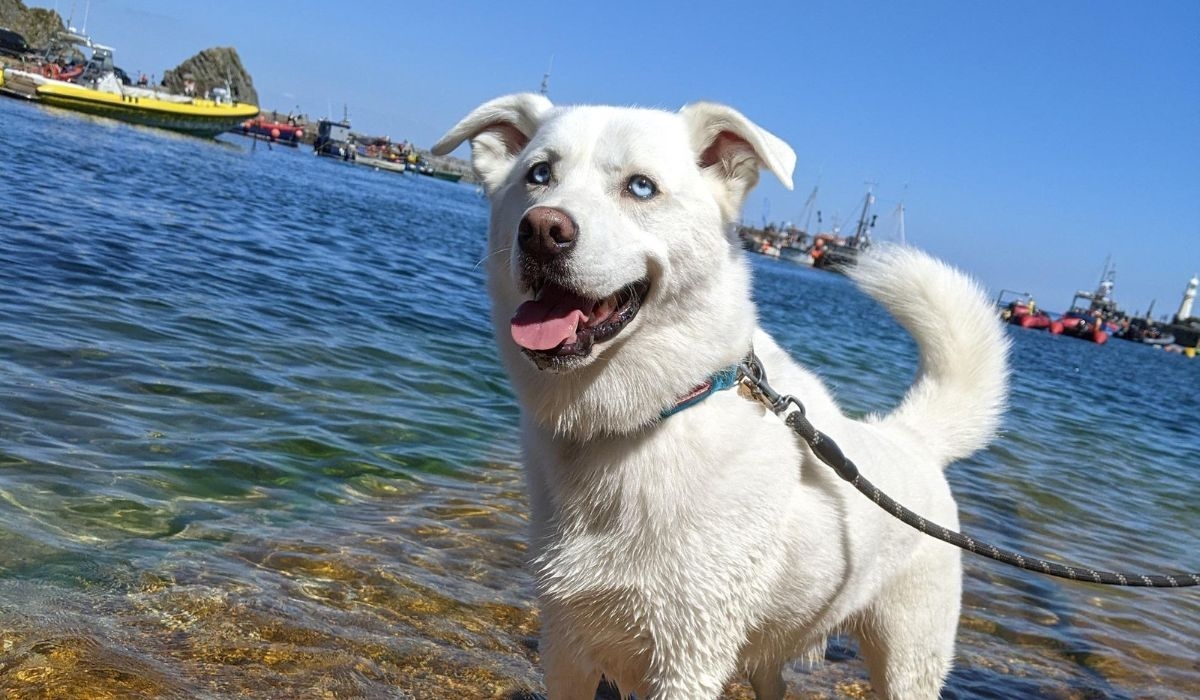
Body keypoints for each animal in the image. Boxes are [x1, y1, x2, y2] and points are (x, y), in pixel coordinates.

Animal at [432, 94, 1003, 700]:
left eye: (640, 187)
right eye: (539, 175)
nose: (541, 229)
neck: (649, 416)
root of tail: (912, 439)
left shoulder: (687, 659)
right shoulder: (566, 645)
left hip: (906, 661)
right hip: (767, 651)